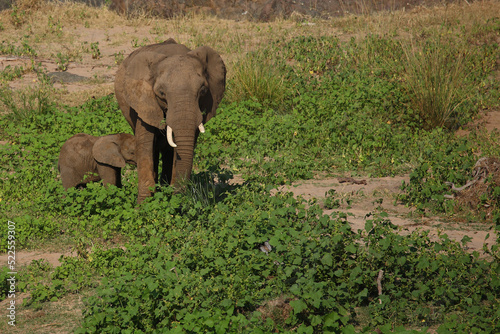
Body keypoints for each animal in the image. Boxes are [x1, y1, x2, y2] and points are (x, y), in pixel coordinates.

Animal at [114, 37, 226, 202]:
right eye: (161, 93)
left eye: (203, 90)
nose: (180, 198)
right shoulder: (143, 100)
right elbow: (145, 143)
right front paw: (143, 204)